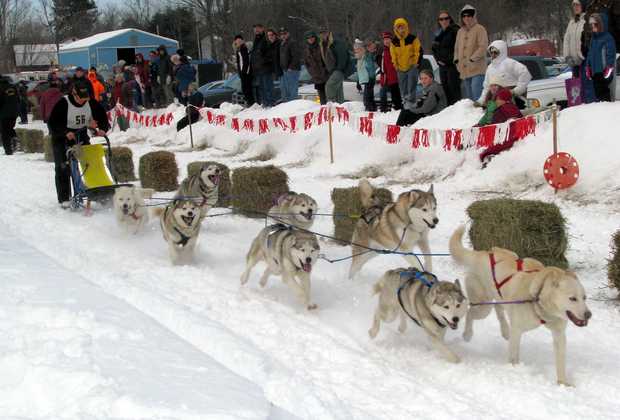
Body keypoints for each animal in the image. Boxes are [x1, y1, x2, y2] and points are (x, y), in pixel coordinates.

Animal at [450, 225, 592, 386]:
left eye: (584, 298)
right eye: (572, 298)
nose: (588, 314)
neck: (538, 298)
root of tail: (481, 254)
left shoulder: (559, 335)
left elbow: (561, 361)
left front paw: (562, 383)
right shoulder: (517, 331)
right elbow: (513, 356)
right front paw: (514, 369)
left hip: (499, 298)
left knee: (499, 309)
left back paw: (505, 330)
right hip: (483, 307)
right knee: (470, 313)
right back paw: (467, 334)